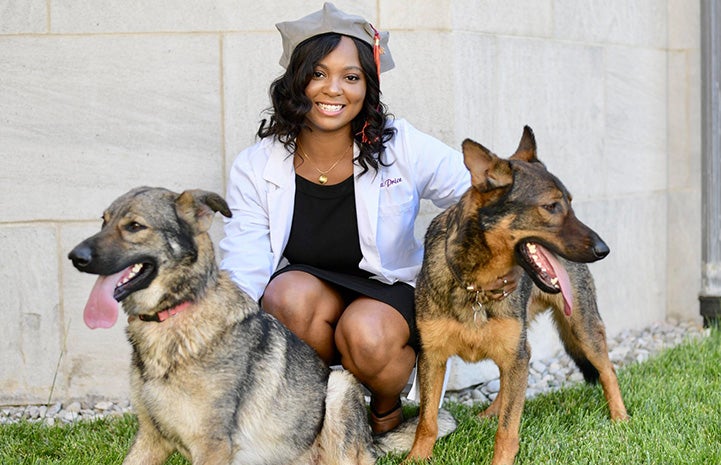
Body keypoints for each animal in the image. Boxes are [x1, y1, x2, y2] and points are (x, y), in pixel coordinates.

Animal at [404, 127, 624, 464]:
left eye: (570, 204)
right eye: (552, 206)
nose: (604, 249)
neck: (477, 286)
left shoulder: (515, 354)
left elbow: (508, 431)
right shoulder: (432, 357)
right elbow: (427, 421)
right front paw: (416, 457)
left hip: (582, 328)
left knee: (608, 370)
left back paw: (621, 418)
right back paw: (492, 412)